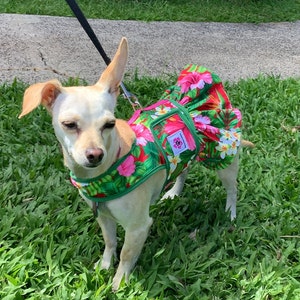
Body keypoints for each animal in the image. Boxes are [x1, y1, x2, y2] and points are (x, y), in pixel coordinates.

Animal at [19, 37, 253, 290]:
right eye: (69, 124)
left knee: (232, 188)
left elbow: (126, 254)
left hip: (223, 155)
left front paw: (118, 283)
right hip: (187, 151)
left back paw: (230, 213)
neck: (106, 172)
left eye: (110, 124)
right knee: (183, 170)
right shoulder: (103, 216)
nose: (95, 154)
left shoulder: (138, 227)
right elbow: (110, 242)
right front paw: (104, 266)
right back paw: (174, 192)